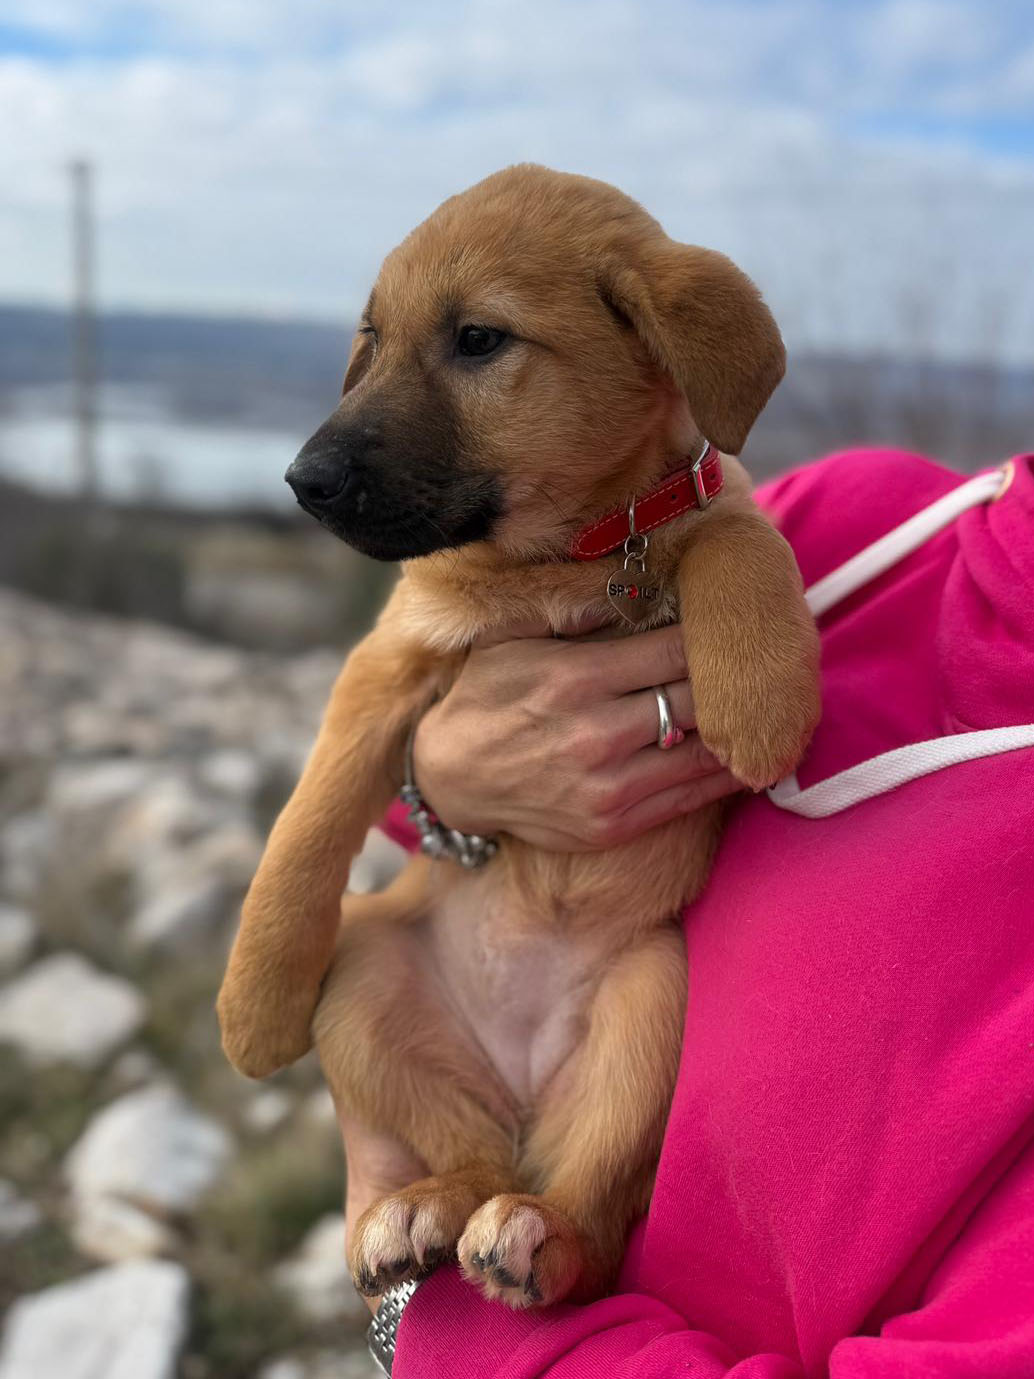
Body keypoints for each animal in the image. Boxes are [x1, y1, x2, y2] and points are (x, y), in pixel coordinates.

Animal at [217, 164, 820, 1308]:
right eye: (371, 337)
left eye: (479, 339)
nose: (303, 482)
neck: (561, 560)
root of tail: (527, 1082)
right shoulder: (386, 667)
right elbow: (306, 823)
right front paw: (255, 998)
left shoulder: (709, 501)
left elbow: (738, 538)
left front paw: (763, 695)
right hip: (366, 981)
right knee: (472, 1149)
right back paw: (421, 1209)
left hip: (652, 1006)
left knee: (585, 1210)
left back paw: (537, 1233)